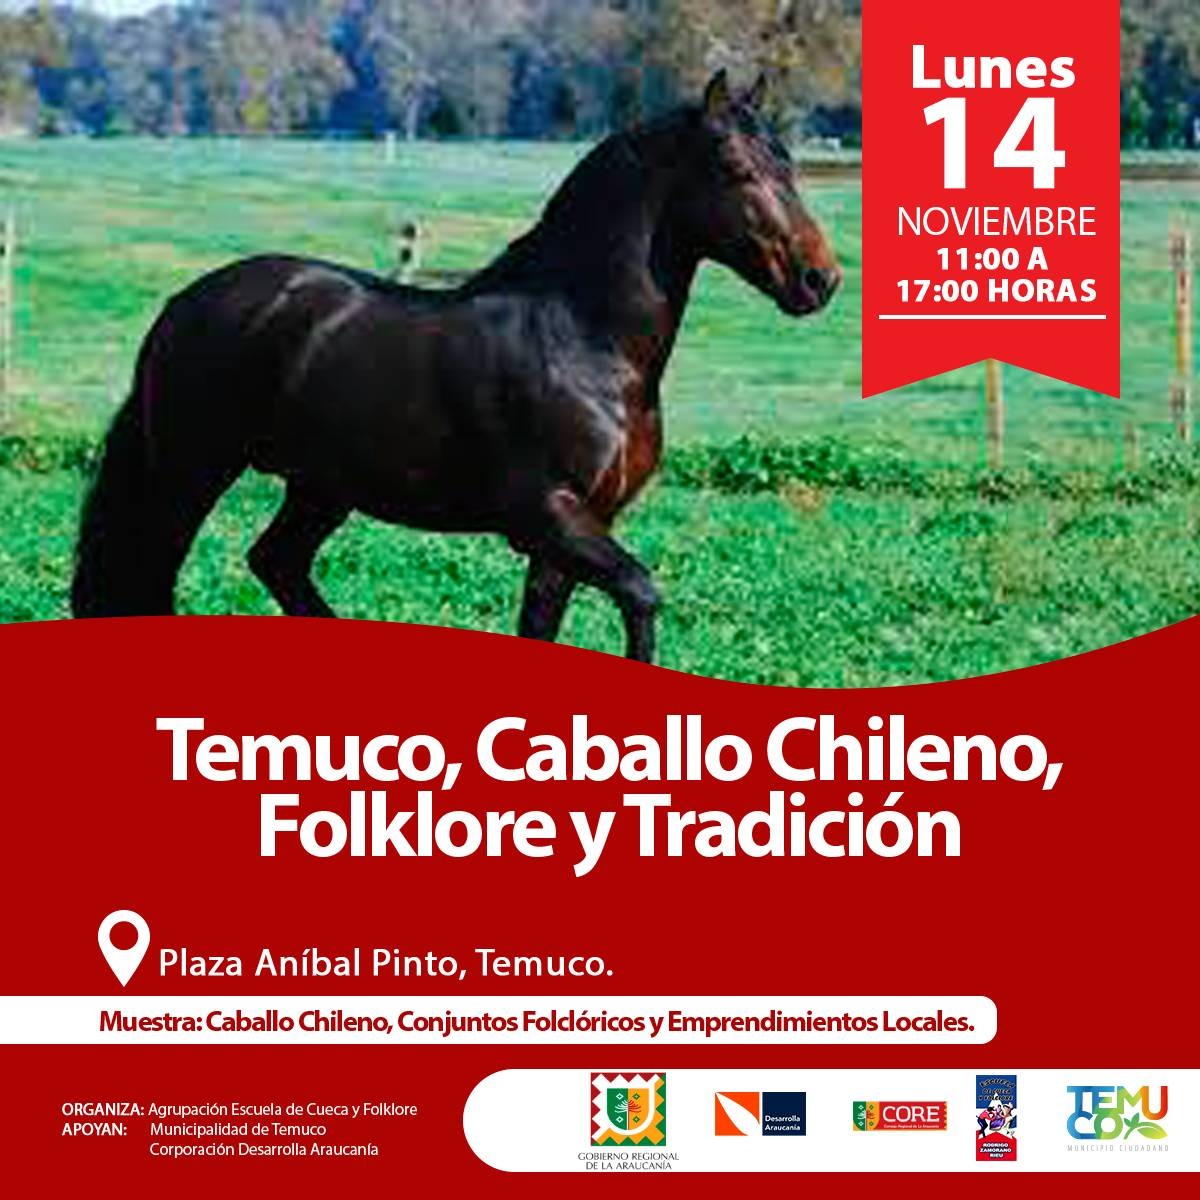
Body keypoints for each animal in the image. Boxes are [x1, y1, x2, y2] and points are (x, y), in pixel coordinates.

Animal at [71, 70, 841, 662]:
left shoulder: (571, 533)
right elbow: (642, 593)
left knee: (276, 561)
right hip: (189, 473)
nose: (819, 280)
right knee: (153, 574)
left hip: (320, 487)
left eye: (790, 167)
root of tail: (183, 304)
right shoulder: (550, 516)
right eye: (738, 170)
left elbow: (543, 628)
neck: (582, 342)